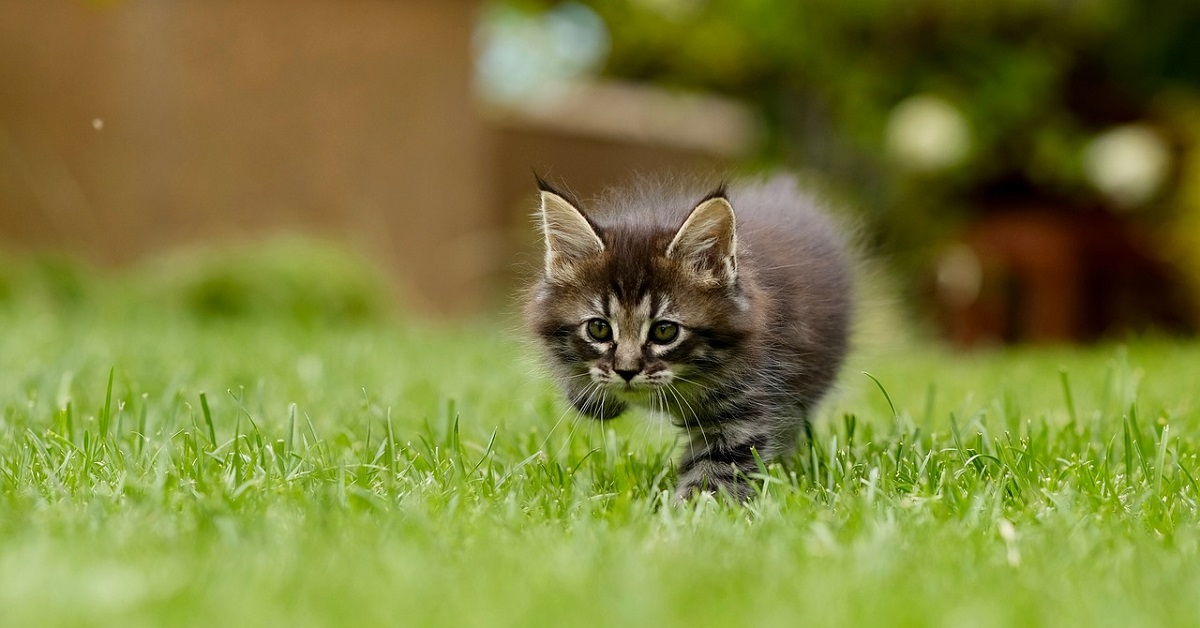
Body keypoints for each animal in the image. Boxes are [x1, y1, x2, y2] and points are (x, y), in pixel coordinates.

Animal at [528, 171, 854, 501]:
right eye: (599, 328)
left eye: (664, 331)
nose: (626, 371)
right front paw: (594, 397)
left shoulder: (742, 404)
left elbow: (717, 473)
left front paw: (692, 509)